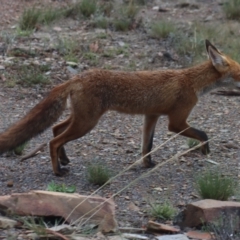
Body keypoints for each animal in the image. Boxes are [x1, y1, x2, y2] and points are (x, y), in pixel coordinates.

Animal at [0, 39, 240, 176]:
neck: (192, 82)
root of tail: (77, 77)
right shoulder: (176, 121)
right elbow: (203, 133)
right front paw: (205, 150)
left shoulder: (151, 116)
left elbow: (146, 146)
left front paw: (147, 165)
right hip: (87, 122)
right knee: (54, 140)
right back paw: (58, 171)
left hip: (81, 118)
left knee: (56, 129)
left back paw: (64, 159)